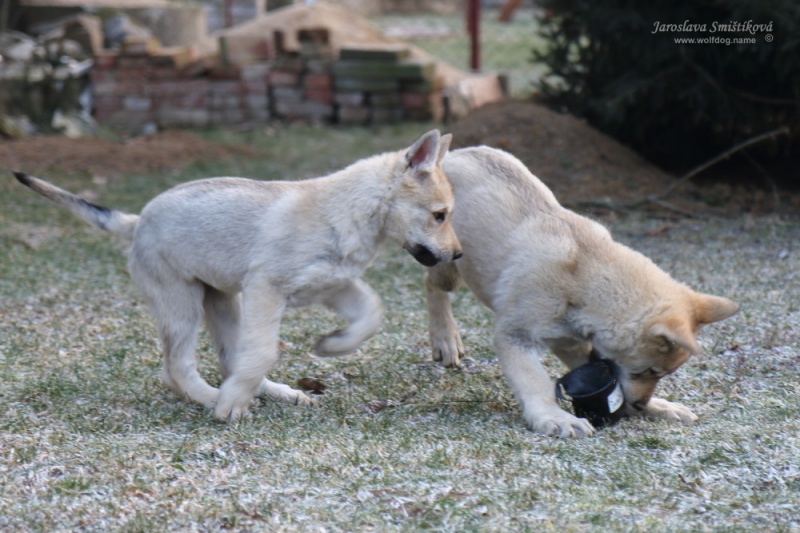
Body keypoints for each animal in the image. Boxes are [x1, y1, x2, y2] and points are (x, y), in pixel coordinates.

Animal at [14, 128, 462, 420]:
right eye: (440, 215)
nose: (458, 254)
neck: (350, 212)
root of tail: (137, 221)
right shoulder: (266, 289)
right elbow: (263, 350)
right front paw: (229, 406)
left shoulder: (333, 285)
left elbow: (371, 314)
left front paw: (333, 345)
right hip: (183, 303)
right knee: (177, 367)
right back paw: (214, 398)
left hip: (221, 300)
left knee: (231, 358)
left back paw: (278, 393)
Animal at [428, 145, 740, 436]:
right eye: (650, 370)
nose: (641, 405)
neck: (582, 278)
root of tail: (456, 152)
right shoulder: (515, 337)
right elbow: (536, 381)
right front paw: (554, 417)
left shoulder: (572, 342)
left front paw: (659, 407)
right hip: (448, 264)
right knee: (433, 287)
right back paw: (445, 339)